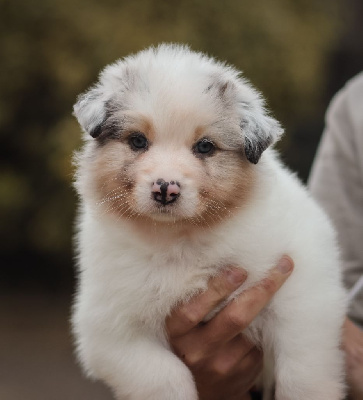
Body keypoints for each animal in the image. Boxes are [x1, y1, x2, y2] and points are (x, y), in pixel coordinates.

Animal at [73, 44, 346, 400]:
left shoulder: (304, 295)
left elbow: (302, 371)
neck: (181, 237)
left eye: (205, 146)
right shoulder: (110, 330)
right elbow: (165, 375)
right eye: (137, 141)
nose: (165, 189)